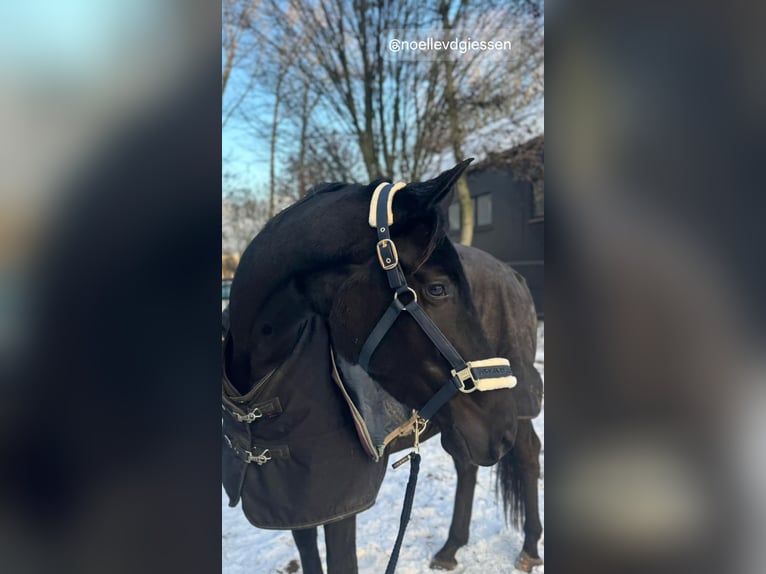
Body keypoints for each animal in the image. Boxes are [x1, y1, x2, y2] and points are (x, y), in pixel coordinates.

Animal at [223, 161, 543, 573]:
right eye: (438, 288)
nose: (500, 430)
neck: (260, 390)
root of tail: (513, 274)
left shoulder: (339, 508)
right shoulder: (296, 505)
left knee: (528, 455)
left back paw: (529, 546)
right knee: (467, 464)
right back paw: (450, 548)